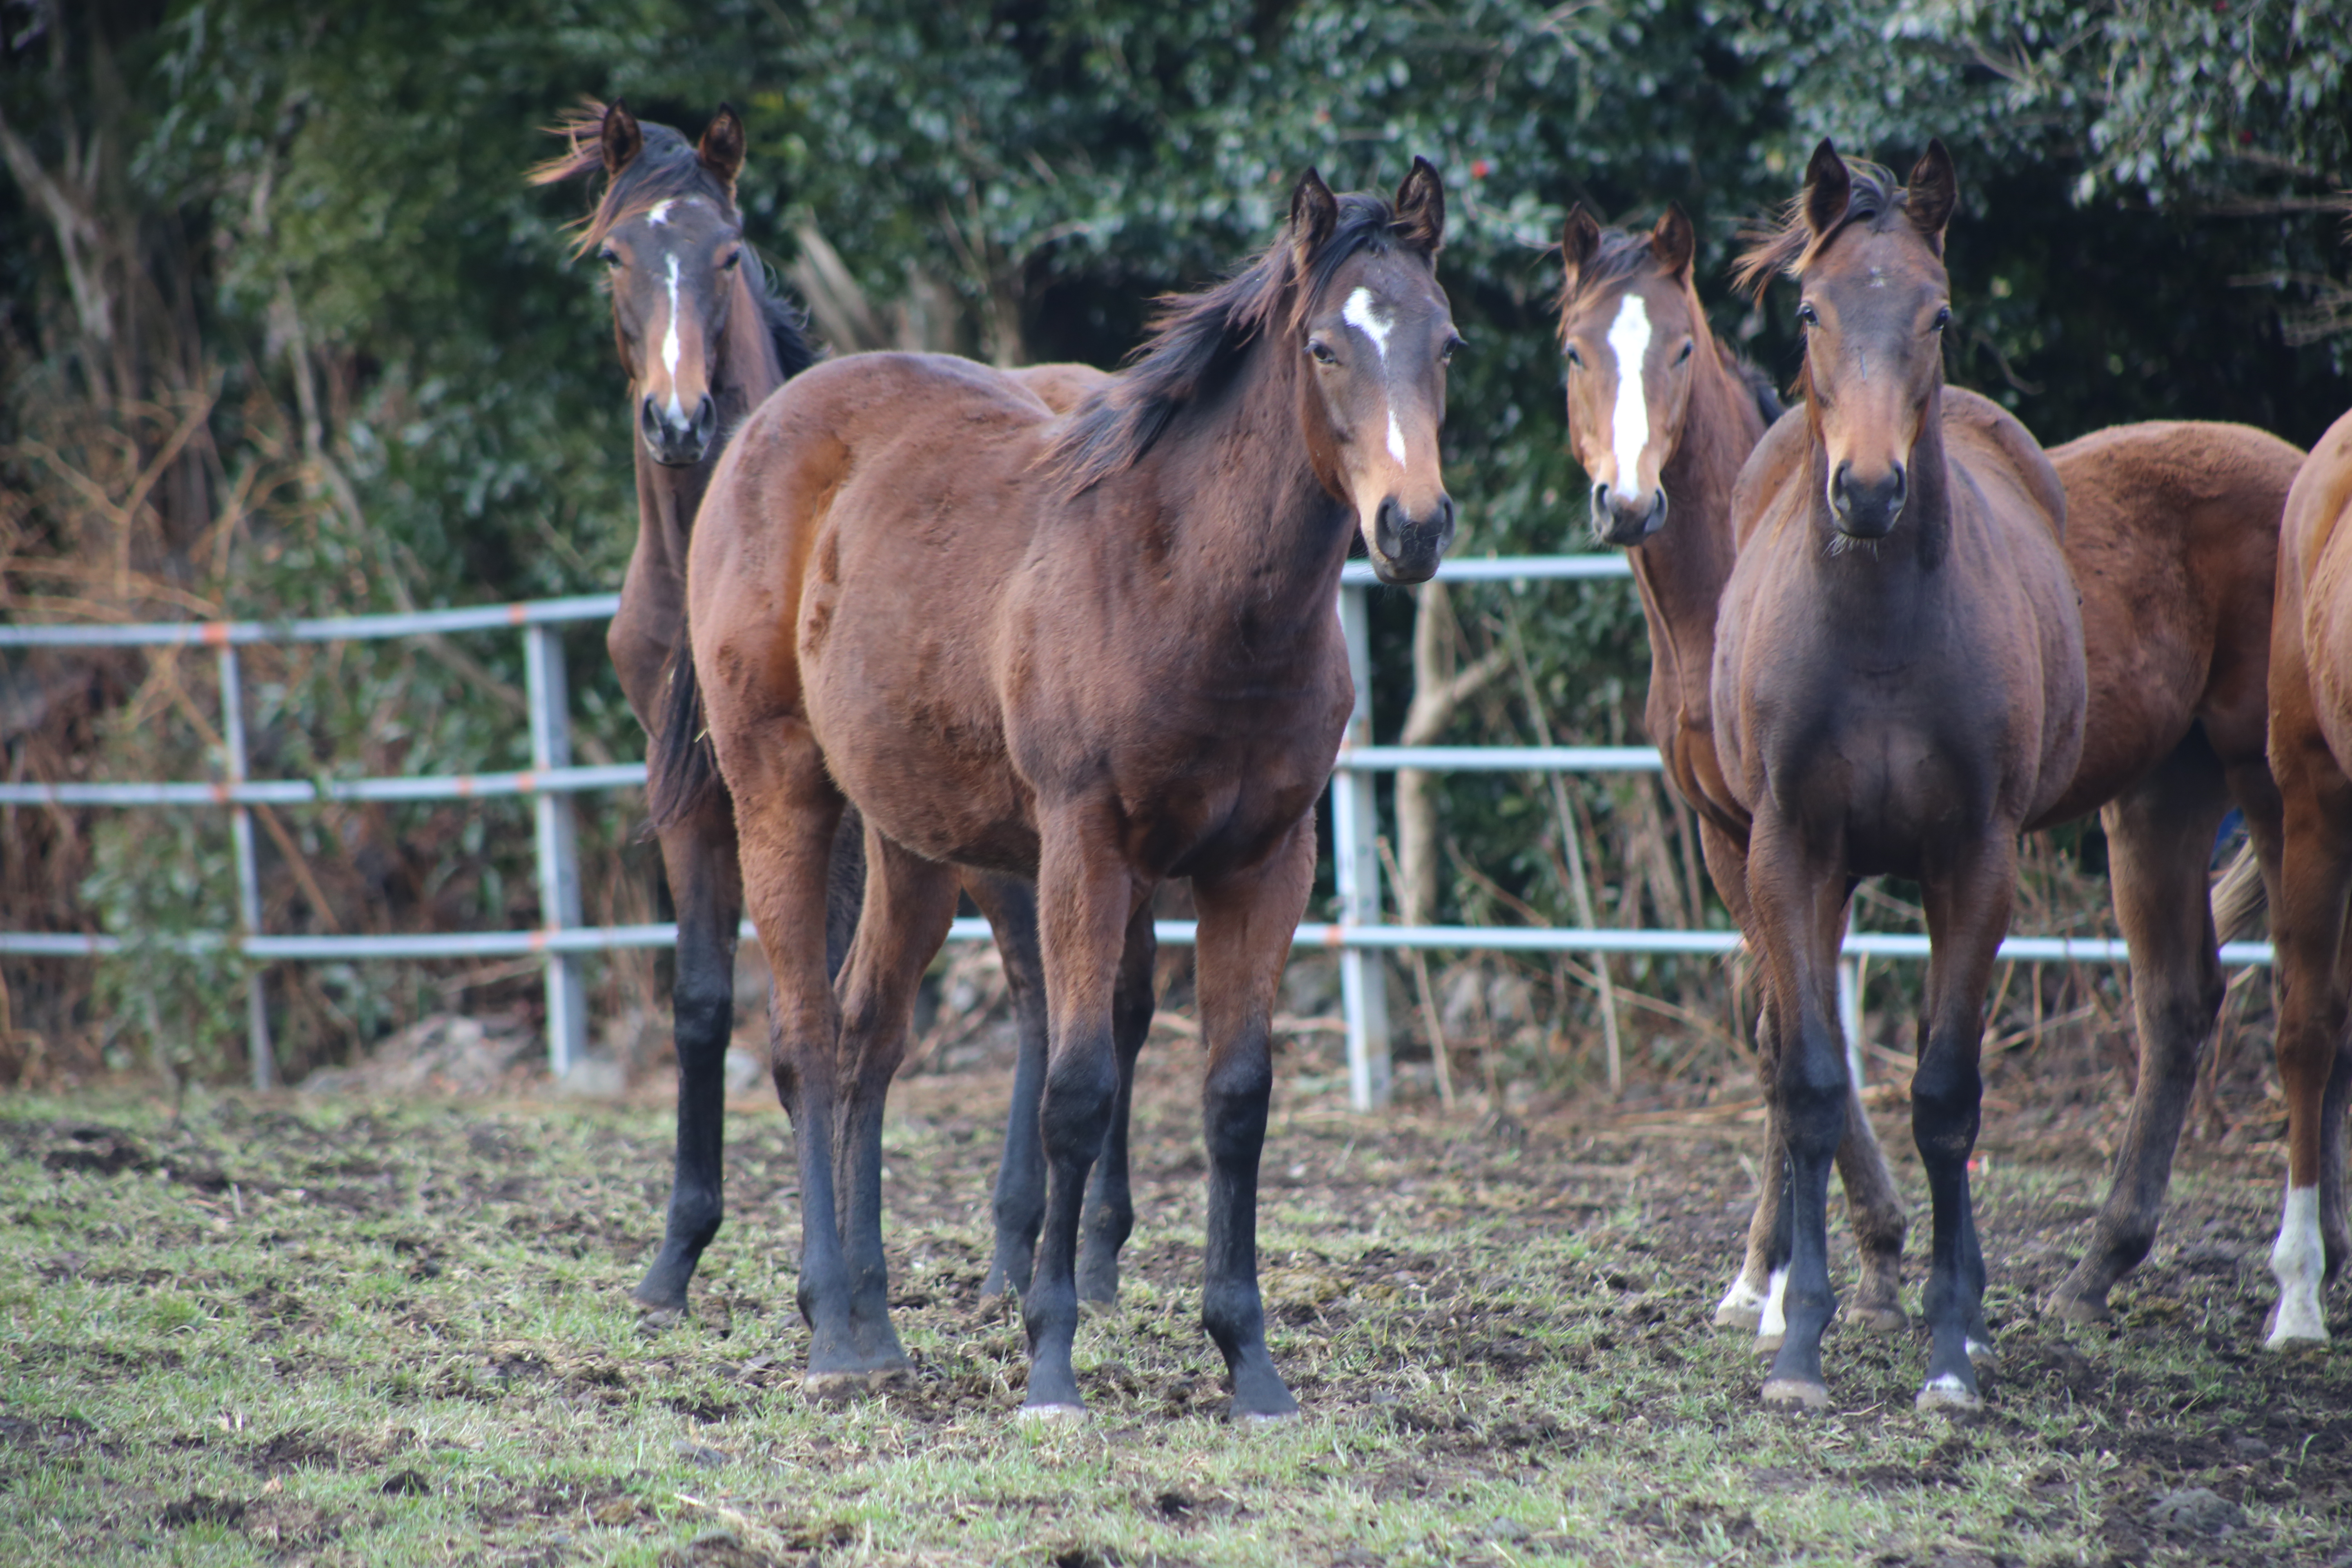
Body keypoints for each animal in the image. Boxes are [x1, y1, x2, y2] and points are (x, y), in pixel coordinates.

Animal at [536, 98, 1129, 1326]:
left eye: (727, 252)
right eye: (615, 255)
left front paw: (850, 1268)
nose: (678, 421)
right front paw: (678, 1255)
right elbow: (704, 1002)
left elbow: (845, 1010)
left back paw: (1083, 1258)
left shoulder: (851, 813)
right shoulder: (690, 795)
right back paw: (1013, 1253)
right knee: (1039, 991)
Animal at [673, 165, 1458, 1420]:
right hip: (780, 792)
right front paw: (1050, 1362)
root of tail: (759, 431)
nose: (1413, 526)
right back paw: (832, 1331)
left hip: (912, 842)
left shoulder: (1267, 861)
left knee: (867, 1036)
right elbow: (1079, 1089)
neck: (1187, 586)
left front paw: (1249, 1360)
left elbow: (1236, 1096)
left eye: (1446, 342)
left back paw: (876, 1323)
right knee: (804, 1041)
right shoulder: (1086, 847)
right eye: (1327, 346)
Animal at [1712, 138, 2098, 1410]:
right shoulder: (1788, 854)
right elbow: (1814, 1086)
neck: (1879, 629)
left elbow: (1943, 1098)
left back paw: (1963, 1318)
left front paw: (1946, 1348)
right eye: (1812, 310)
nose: (1869, 491)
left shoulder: (1975, 859)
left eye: (1936, 313)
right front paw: (1797, 1348)